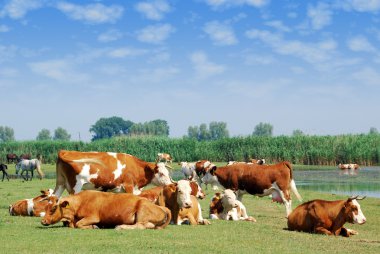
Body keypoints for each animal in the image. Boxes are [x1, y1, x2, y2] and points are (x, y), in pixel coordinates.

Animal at [41, 190, 171, 230]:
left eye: (53, 208)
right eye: (45, 207)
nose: (43, 221)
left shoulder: (93, 217)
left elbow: (79, 224)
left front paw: (94, 226)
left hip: (142, 210)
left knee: (141, 225)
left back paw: (120, 226)